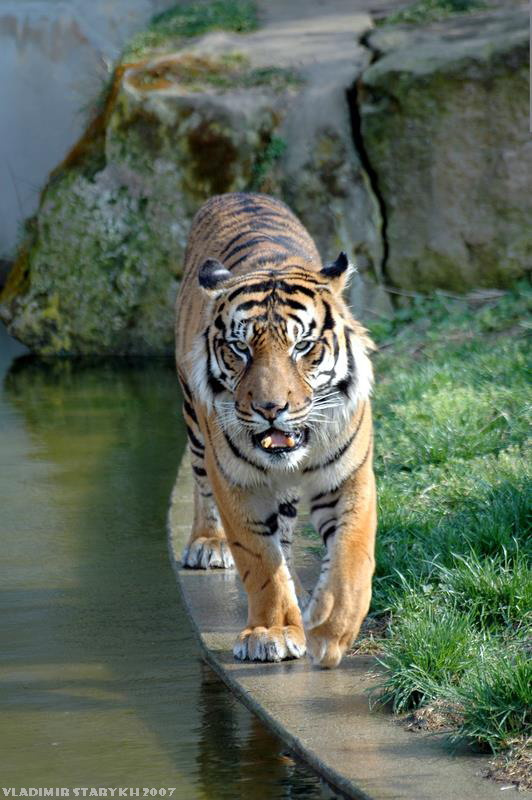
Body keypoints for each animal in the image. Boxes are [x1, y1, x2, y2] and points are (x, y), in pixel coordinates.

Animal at [175, 192, 376, 668]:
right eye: (240, 348)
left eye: (302, 346)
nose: (270, 409)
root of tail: (239, 193)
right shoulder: (239, 483)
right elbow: (261, 561)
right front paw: (274, 631)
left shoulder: (349, 477)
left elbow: (352, 556)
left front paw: (332, 626)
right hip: (194, 423)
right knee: (200, 483)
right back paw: (208, 543)